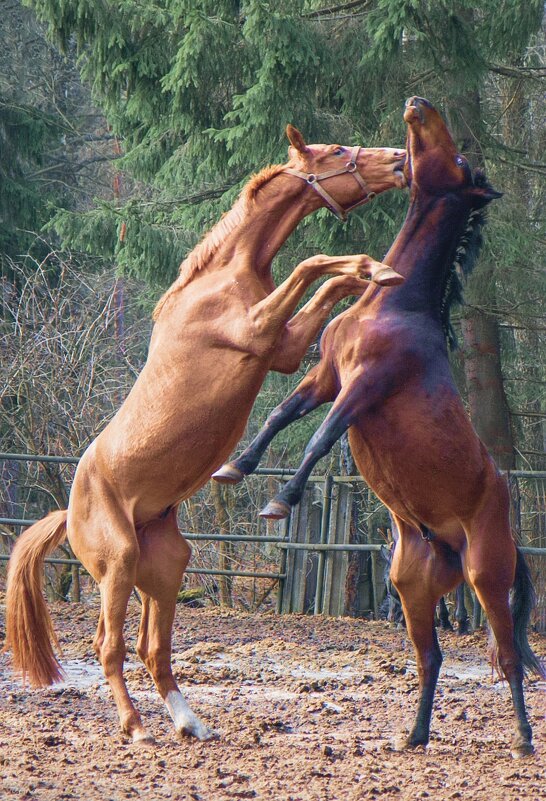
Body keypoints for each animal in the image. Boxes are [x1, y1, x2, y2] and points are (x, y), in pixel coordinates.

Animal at [3, 125, 404, 744]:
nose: (402, 159)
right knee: (109, 646)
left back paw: (189, 722)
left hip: (164, 568)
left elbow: (324, 282)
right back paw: (136, 728)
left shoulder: (282, 347)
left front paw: (376, 270)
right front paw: (376, 268)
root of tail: (68, 511)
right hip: (117, 564)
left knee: (153, 648)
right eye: (337, 152)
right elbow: (313, 264)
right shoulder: (260, 331)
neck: (220, 279)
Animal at [211, 100, 540, 756]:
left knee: (508, 655)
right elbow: (281, 416)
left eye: (455, 157)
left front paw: (281, 501)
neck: (394, 305)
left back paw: (521, 739)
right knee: (432, 657)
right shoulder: (327, 376)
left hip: (486, 578)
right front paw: (237, 467)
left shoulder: (362, 390)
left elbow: (318, 439)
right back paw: (413, 736)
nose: (418, 106)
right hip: (412, 590)